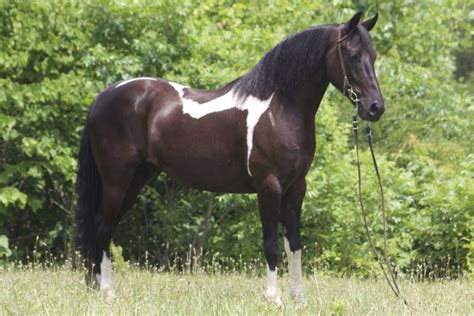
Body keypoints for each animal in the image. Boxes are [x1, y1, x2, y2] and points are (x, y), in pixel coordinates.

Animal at [75, 11, 386, 304]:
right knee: (102, 228)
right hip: (117, 180)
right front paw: (273, 298)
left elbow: (294, 245)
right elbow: (272, 245)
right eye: (352, 55)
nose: (375, 108)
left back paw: (97, 287)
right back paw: (108, 292)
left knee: (103, 229)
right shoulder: (269, 186)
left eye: (373, 56)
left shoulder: (297, 187)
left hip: (136, 180)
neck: (279, 110)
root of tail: (102, 98)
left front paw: (299, 299)